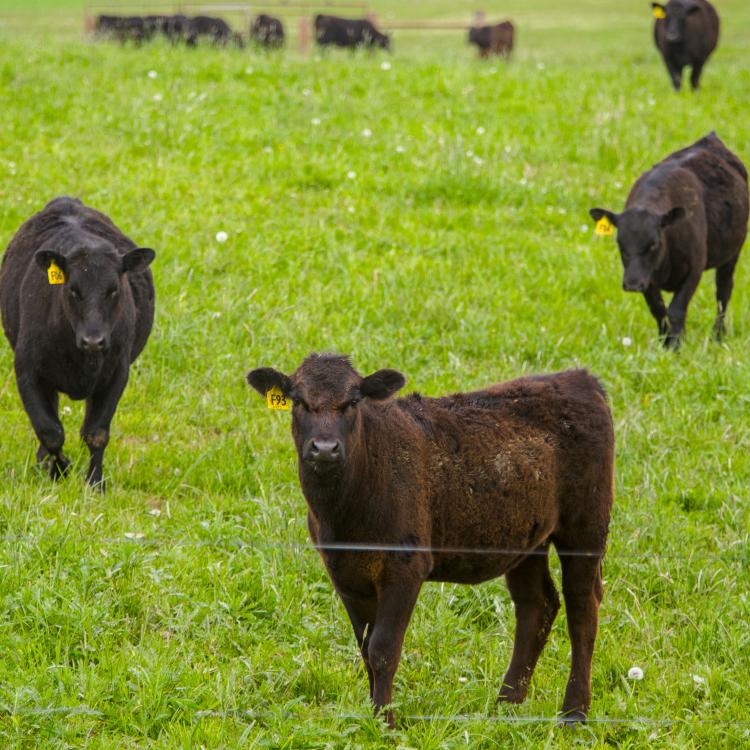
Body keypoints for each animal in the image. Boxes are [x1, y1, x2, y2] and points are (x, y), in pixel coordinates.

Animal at [0, 197, 156, 490]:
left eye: (114, 289)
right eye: (73, 289)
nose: (93, 340)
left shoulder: (117, 372)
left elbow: (96, 433)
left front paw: (95, 484)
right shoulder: (27, 370)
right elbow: (50, 431)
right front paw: (60, 471)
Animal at [250, 356, 612, 728]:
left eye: (353, 401)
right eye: (298, 401)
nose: (324, 449)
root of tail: (579, 378)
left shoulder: (406, 566)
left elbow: (383, 649)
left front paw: (386, 723)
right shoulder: (344, 573)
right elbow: (364, 647)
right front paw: (374, 715)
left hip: (586, 524)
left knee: (582, 608)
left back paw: (573, 713)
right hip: (525, 537)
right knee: (536, 605)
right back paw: (505, 705)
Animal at [592, 132, 748, 350]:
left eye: (654, 244)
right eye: (620, 244)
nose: (632, 284)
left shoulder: (694, 269)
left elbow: (676, 310)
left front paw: (675, 347)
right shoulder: (646, 278)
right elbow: (659, 310)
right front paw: (665, 344)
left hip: (732, 253)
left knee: (723, 292)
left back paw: (718, 337)